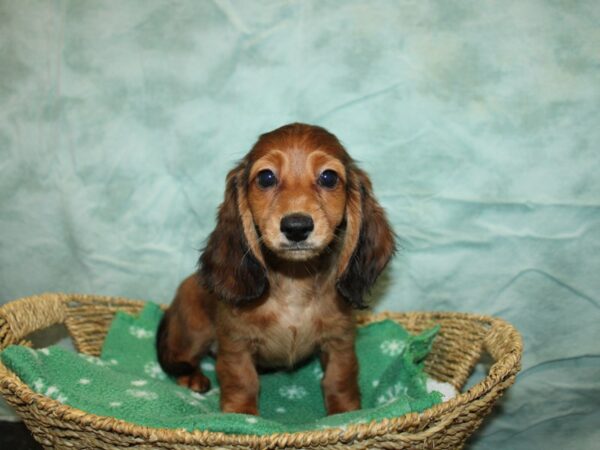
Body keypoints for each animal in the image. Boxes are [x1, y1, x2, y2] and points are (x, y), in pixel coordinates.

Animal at [157, 123, 396, 414]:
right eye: (266, 177)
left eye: (329, 177)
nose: (296, 227)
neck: (294, 280)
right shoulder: (236, 343)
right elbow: (242, 379)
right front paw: (242, 414)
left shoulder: (340, 341)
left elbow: (340, 378)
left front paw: (345, 413)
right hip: (194, 329)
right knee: (181, 357)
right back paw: (192, 377)